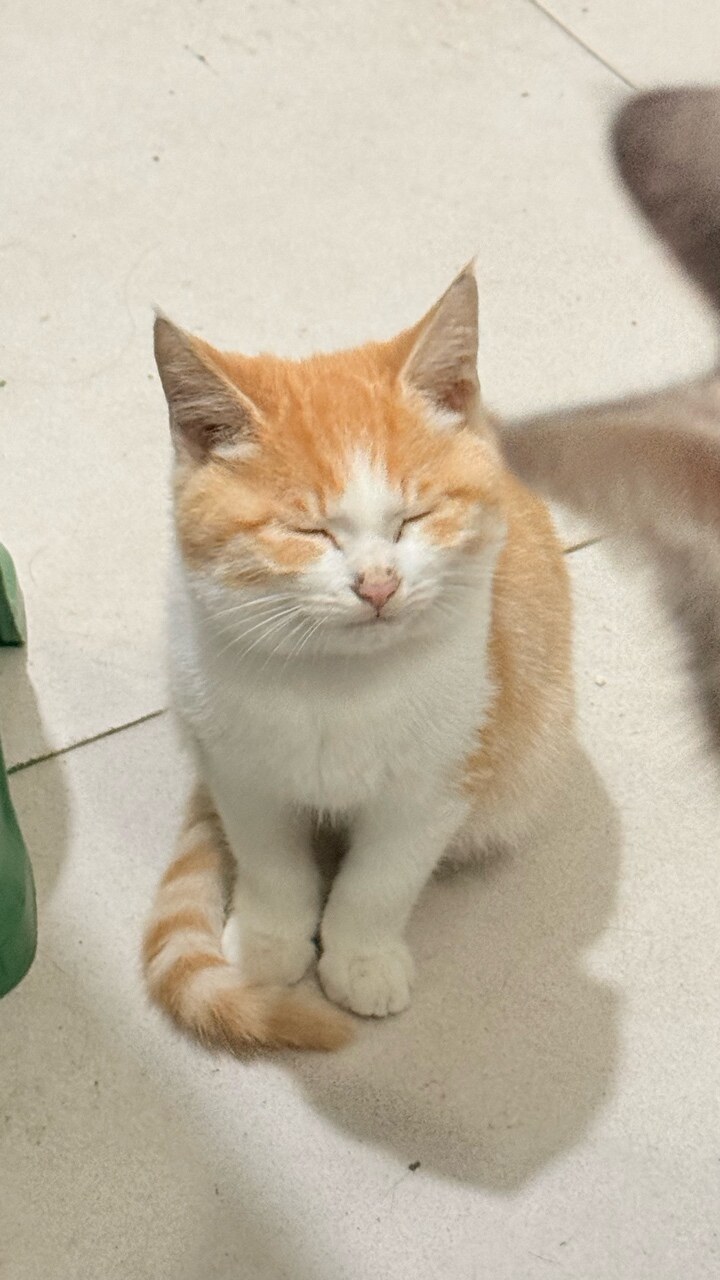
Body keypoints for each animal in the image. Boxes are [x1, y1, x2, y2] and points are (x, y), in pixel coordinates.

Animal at [142, 265, 574, 1054]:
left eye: (415, 518)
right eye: (308, 531)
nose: (378, 583)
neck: (336, 685)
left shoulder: (439, 779)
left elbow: (382, 880)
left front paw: (360, 959)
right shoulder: (240, 770)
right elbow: (270, 859)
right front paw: (270, 941)